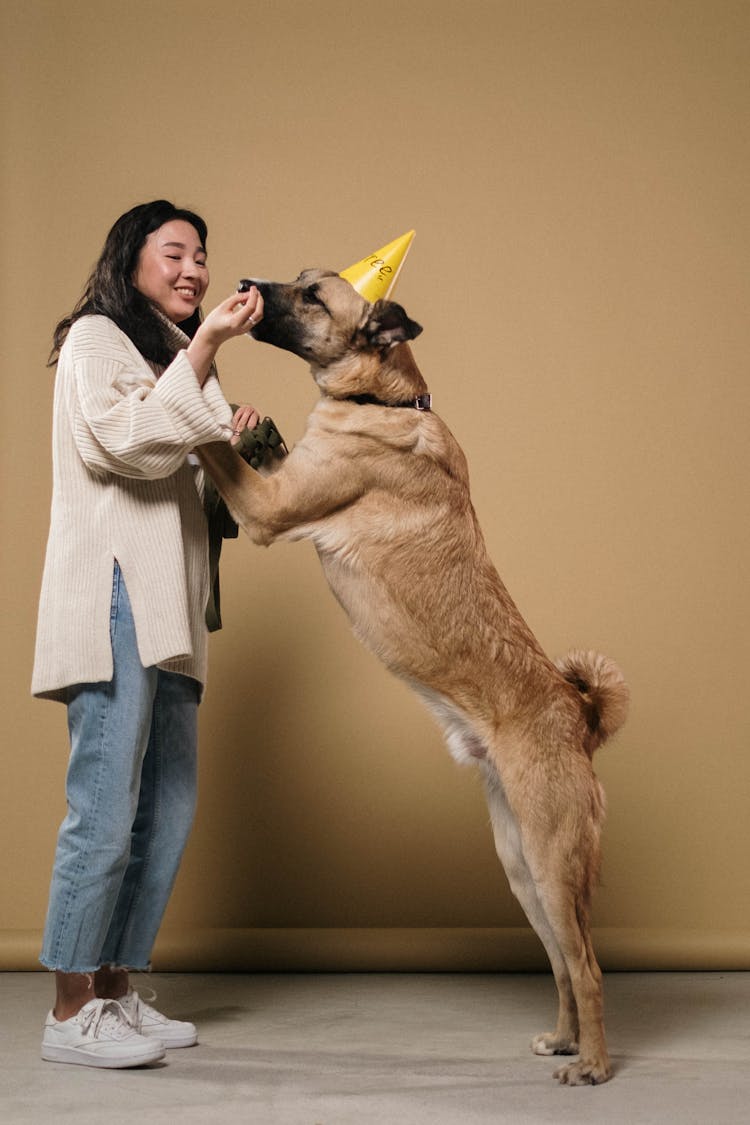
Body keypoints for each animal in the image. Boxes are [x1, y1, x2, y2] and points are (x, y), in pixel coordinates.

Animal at [196, 267, 629, 1084]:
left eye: (312, 296)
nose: (244, 283)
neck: (382, 400)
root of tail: (577, 714)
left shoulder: (269, 508)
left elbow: (213, 450)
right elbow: (243, 447)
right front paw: (248, 426)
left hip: (554, 864)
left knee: (587, 967)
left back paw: (590, 1064)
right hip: (523, 870)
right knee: (562, 964)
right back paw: (562, 1039)